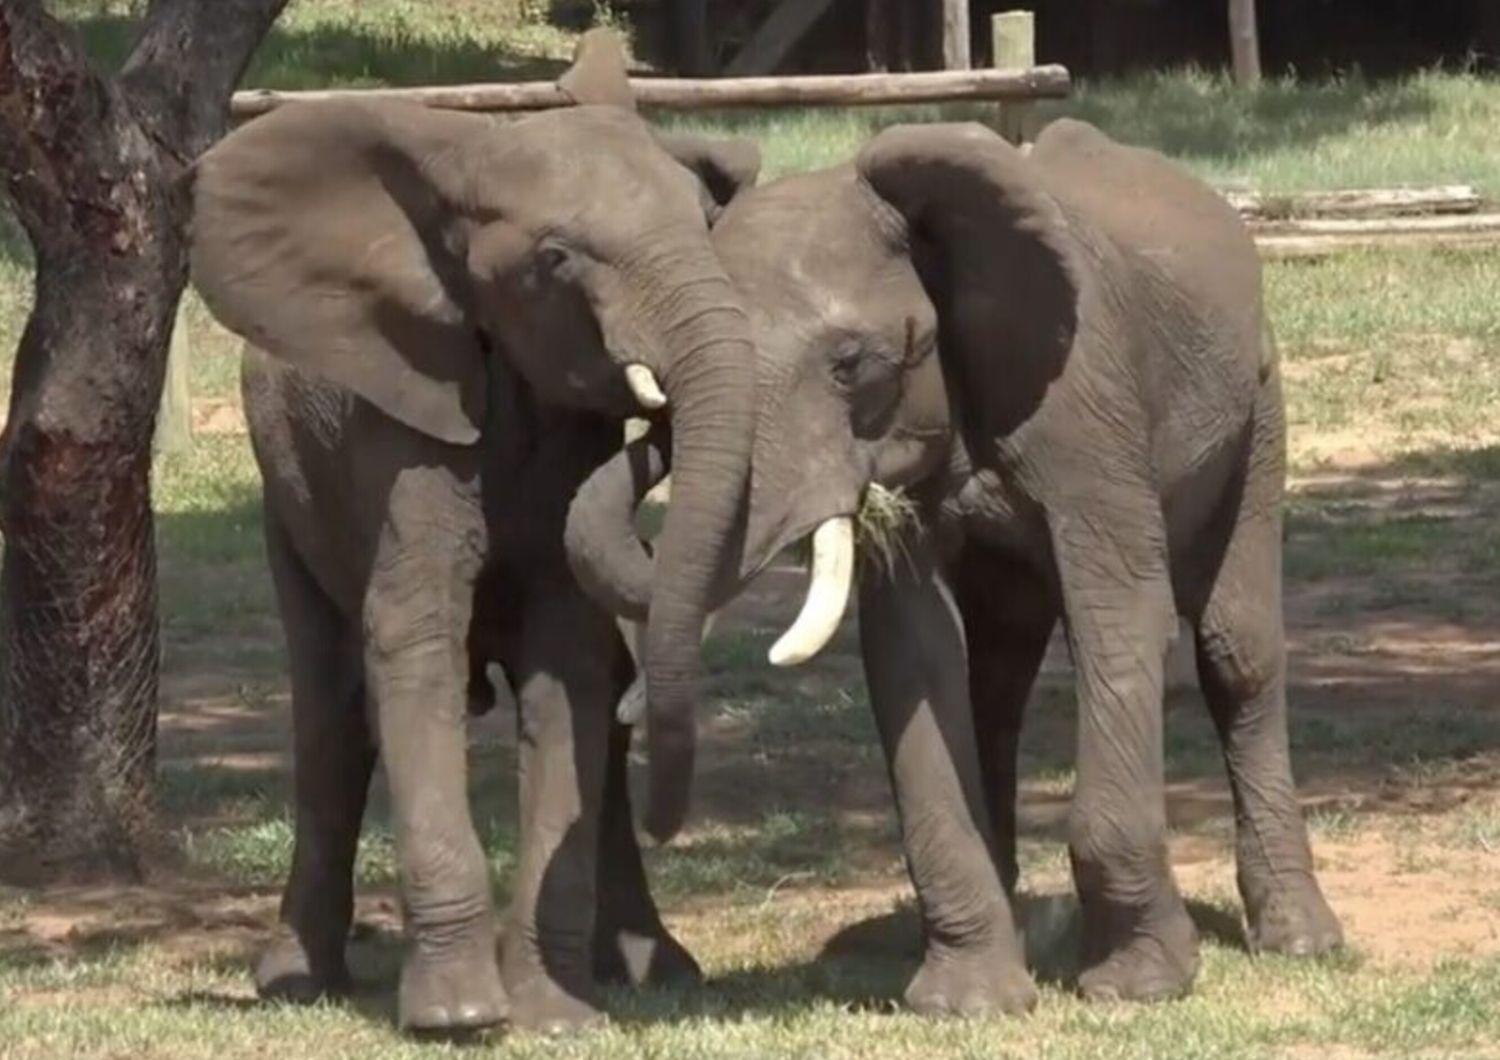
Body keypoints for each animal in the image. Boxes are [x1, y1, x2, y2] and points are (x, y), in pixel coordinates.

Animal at [190, 39, 762, 1025]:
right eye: (556, 258)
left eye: (705, 220)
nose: (659, 416)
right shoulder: (402, 423)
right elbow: (410, 641)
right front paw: (459, 1018)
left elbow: (569, 667)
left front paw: (552, 1016)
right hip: (286, 498)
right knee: (331, 714)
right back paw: (296, 980)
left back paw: (654, 967)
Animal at [564, 118, 1350, 1019]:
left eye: (852, 364)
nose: (659, 820)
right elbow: (915, 653)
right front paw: (968, 1002)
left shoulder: (1087, 400)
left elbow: (1120, 618)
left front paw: (1140, 985)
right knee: (997, 680)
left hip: (1259, 405)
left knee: (1236, 651)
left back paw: (1301, 939)